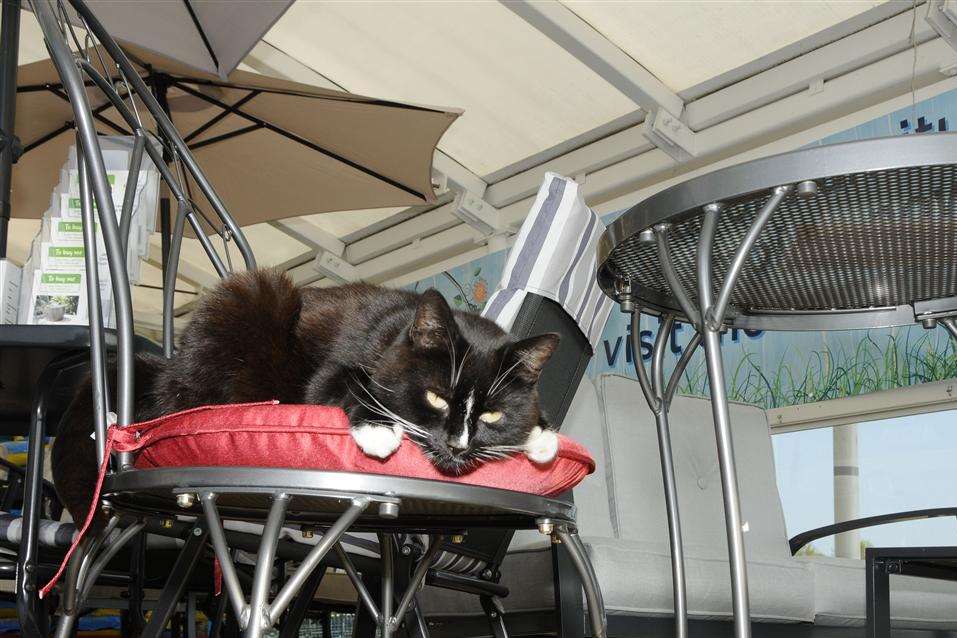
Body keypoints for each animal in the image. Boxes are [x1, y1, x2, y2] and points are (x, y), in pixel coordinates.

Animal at [50, 268, 560, 528]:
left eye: (491, 414)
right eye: (436, 398)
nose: (457, 446)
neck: (396, 336)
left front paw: (544, 437)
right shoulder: (335, 371)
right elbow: (348, 383)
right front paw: (379, 432)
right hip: (252, 297)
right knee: (186, 398)